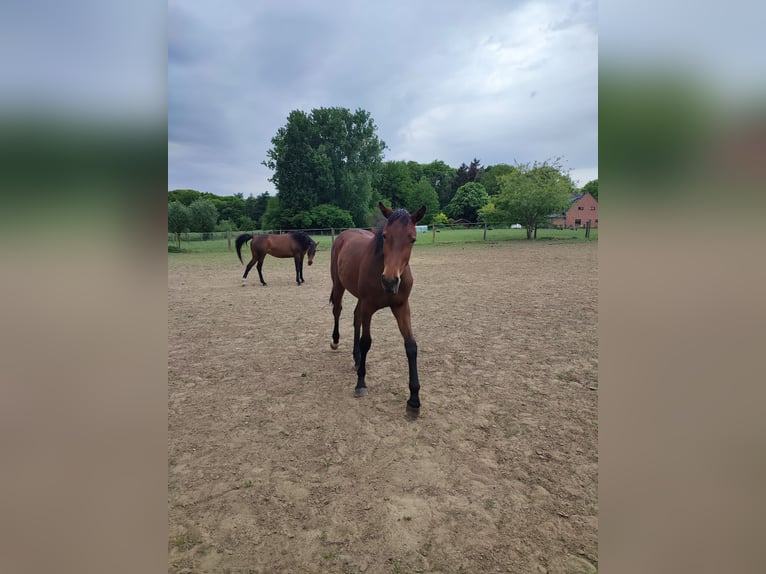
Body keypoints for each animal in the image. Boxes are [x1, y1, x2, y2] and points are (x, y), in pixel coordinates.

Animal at [329, 202, 426, 413]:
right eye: (385, 236)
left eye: (413, 239)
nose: (390, 281)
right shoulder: (368, 307)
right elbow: (367, 341)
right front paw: (360, 384)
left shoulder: (401, 307)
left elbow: (411, 345)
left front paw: (414, 398)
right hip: (339, 285)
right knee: (337, 310)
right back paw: (336, 341)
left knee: (355, 317)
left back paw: (357, 358)